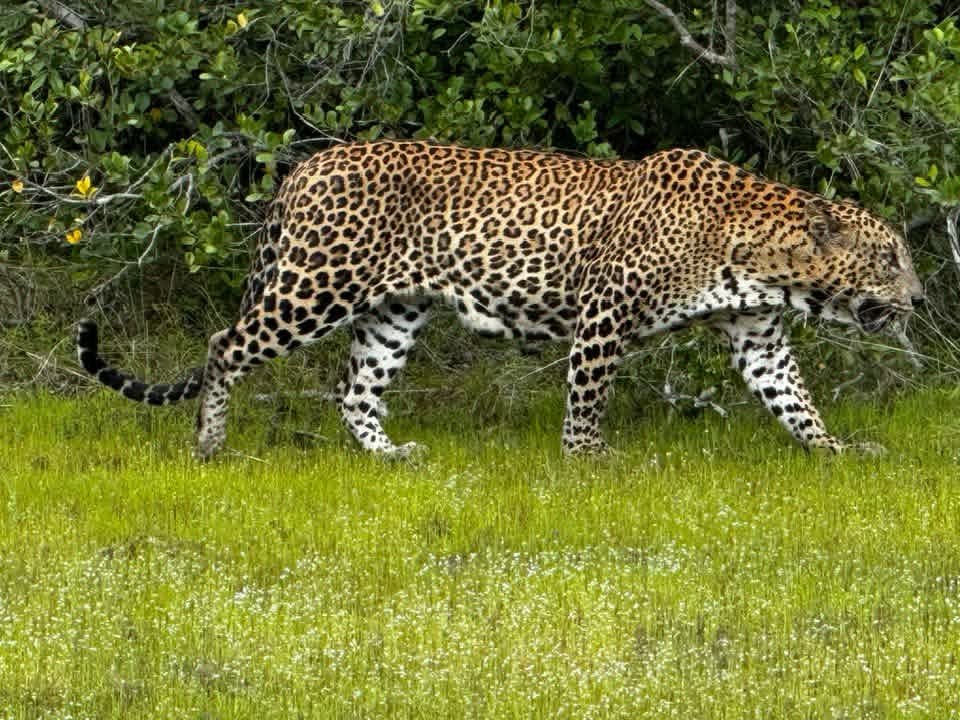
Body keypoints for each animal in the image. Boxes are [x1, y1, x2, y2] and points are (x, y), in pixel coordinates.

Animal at [77, 140, 924, 459]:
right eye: (889, 257)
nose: (919, 300)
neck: (759, 256)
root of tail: (305, 167)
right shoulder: (604, 313)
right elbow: (587, 396)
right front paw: (587, 461)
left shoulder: (758, 334)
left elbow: (795, 399)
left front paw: (835, 450)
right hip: (314, 286)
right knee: (224, 344)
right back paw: (209, 443)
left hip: (392, 311)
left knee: (355, 390)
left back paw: (389, 455)